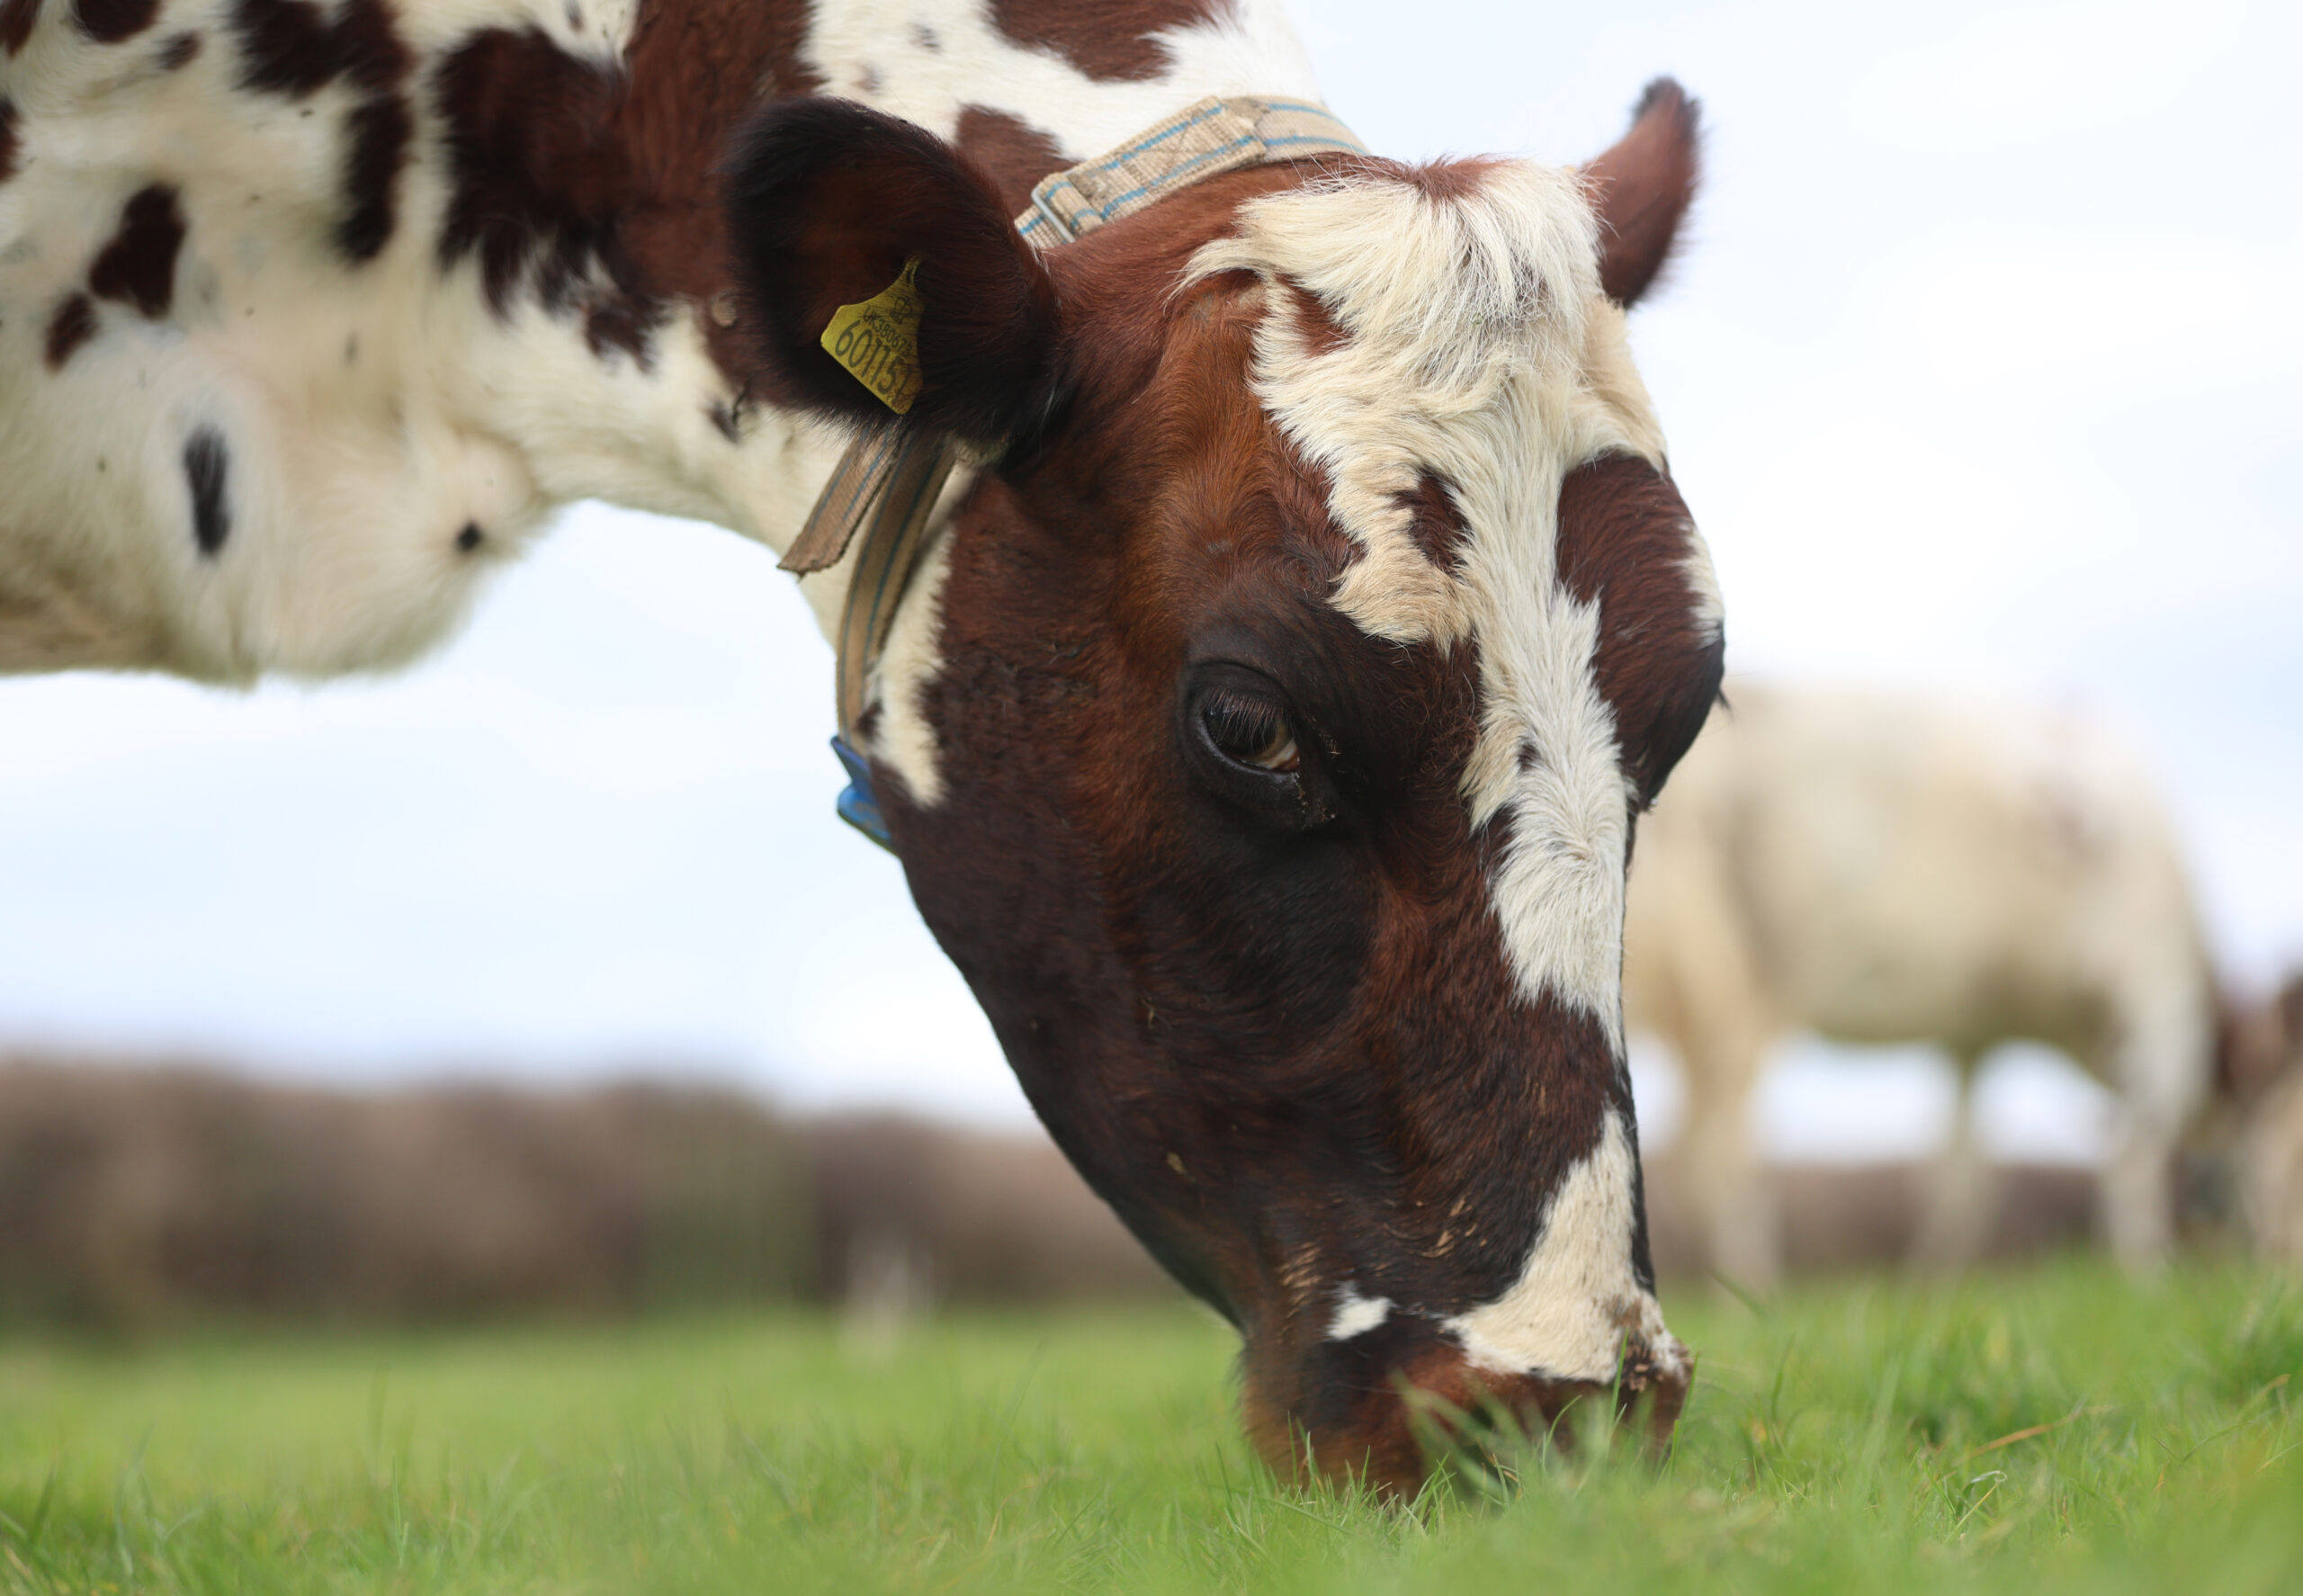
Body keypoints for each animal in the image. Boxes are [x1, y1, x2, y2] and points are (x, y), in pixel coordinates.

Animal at [1624, 683, 2217, 1287]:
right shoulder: (2155, 992)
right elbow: (2137, 1140)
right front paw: (2143, 1268)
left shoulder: (1975, 1034)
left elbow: (1963, 1167)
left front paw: (1941, 1275)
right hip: (1740, 992)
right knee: (1724, 1156)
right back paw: (1749, 1282)